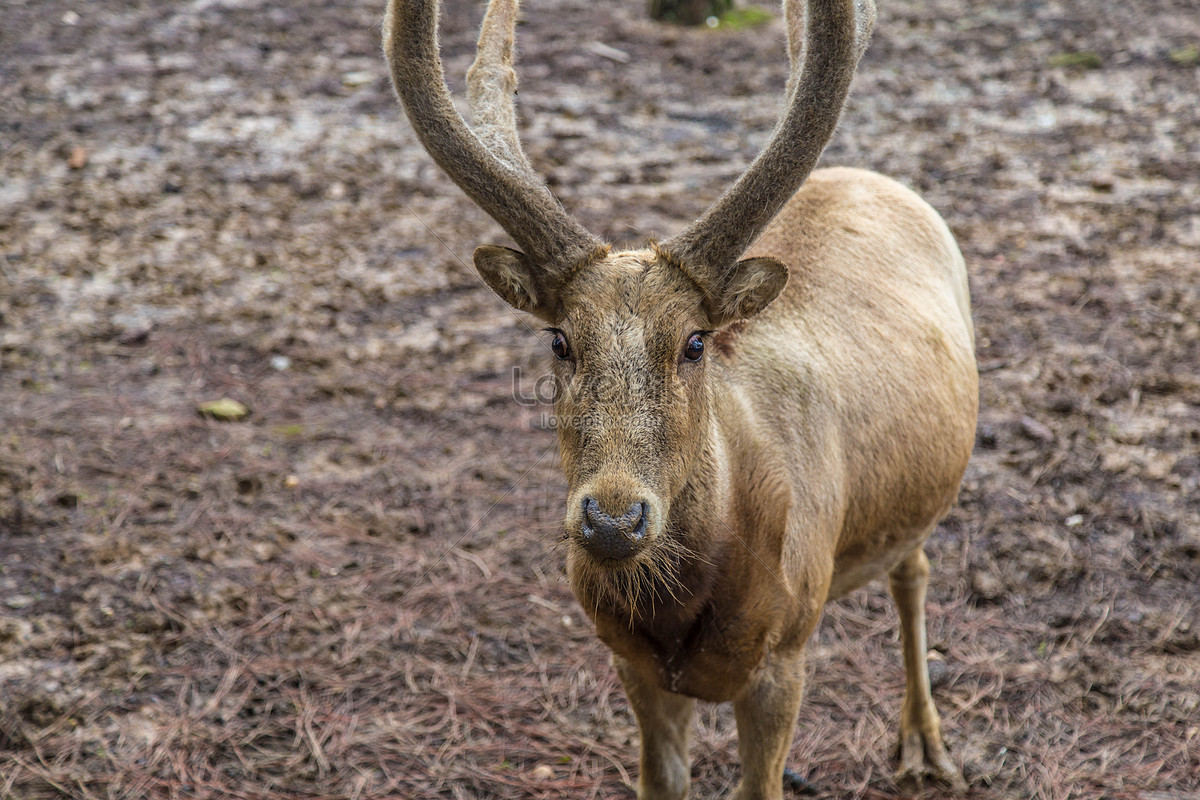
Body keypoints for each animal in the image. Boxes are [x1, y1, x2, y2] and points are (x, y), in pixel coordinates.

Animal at [381, 0, 974, 796]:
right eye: (559, 340)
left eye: (695, 341)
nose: (612, 517)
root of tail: (868, 175)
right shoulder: (632, 665)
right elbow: (659, 781)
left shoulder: (785, 656)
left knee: (914, 569)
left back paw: (924, 744)